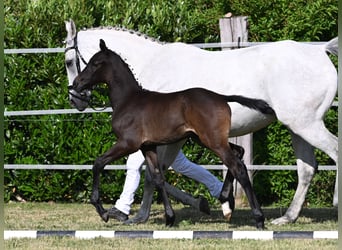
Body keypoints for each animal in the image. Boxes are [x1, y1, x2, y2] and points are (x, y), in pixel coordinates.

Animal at [71, 39, 274, 229]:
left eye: (96, 63)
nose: (75, 84)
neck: (128, 100)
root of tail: (221, 97)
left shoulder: (128, 143)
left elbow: (98, 163)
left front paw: (102, 211)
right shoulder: (148, 146)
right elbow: (157, 178)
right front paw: (169, 218)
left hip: (213, 141)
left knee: (238, 167)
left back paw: (258, 218)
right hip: (204, 138)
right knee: (239, 152)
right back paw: (226, 202)